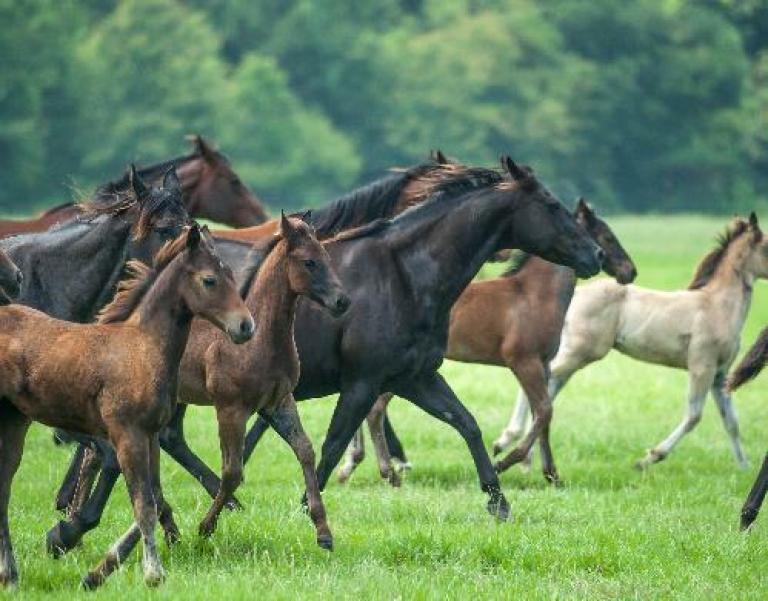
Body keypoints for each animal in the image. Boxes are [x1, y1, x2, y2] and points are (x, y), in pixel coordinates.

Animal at [0, 224, 254, 590]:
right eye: (209, 280)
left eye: (231, 275)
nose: (245, 326)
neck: (144, 346)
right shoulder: (128, 435)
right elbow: (144, 505)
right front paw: (153, 573)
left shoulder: (150, 437)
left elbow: (154, 498)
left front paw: (96, 573)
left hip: (15, 423)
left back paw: (11, 576)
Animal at [336, 198, 637, 486]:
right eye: (606, 236)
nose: (629, 271)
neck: (534, 295)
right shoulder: (523, 362)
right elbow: (543, 411)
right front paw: (504, 461)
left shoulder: (544, 364)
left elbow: (544, 416)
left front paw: (552, 474)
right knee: (375, 410)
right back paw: (386, 470)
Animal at [509, 214, 768, 471]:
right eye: (766, 247)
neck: (716, 306)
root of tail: (576, 295)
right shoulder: (701, 367)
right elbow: (694, 416)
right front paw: (649, 458)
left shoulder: (719, 374)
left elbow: (732, 422)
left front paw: (745, 469)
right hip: (580, 352)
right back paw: (512, 444)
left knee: (547, 387)